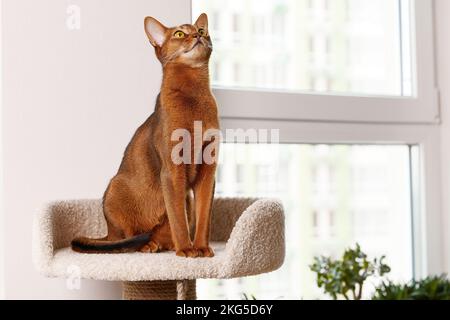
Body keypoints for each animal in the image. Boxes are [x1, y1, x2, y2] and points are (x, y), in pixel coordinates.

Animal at [71, 14, 220, 258]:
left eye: (201, 30)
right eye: (179, 33)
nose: (198, 36)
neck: (193, 96)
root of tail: (107, 233)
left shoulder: (208, 170)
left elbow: (204, 216)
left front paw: (201, 248)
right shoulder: (172, 171)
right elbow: (178, 218)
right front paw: (186, 250)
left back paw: (164, 244)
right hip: (115, 188)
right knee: (127, 238)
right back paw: (148, 245)